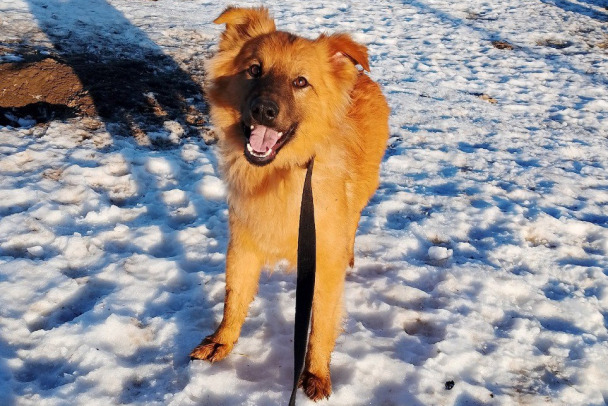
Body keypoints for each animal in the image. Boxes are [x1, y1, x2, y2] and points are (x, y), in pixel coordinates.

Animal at [190, 7, 390, 402]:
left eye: (300, 82)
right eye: (254, 70)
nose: (264, 110)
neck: (281, 173)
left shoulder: (324, 264)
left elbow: (321, 325)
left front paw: (315, 373)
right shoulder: (243, 245)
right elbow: (234, 299)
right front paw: (222, 342)